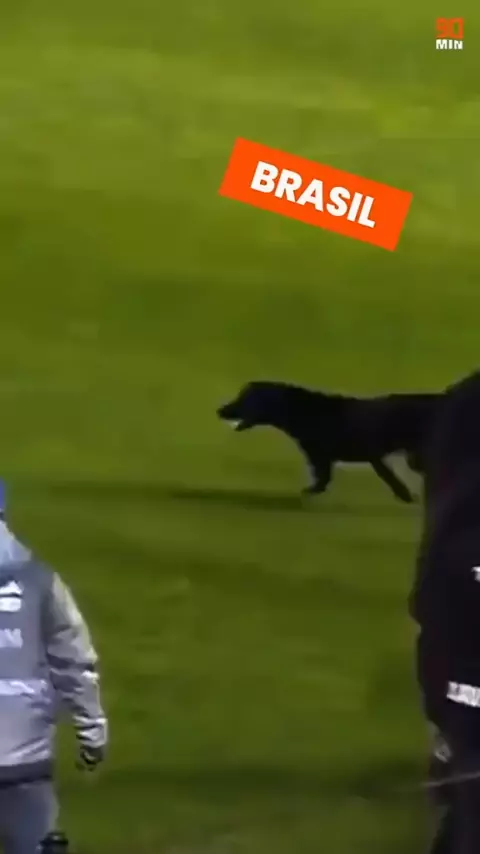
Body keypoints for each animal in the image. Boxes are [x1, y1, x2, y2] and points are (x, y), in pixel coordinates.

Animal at [217, 381, 441, 502]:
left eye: (244, 399)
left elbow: (322, 477)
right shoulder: (372, 457)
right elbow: (390, 478)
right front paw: (406, 496)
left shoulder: (321, 455)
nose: (220, 410)